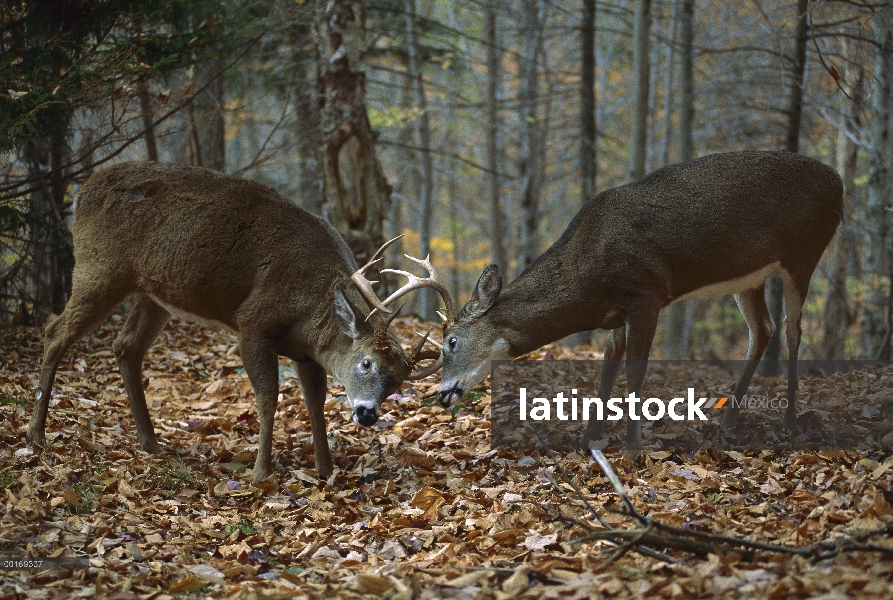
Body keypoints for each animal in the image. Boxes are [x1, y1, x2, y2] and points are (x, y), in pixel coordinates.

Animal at [27, 163, 450, 482]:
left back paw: (151, 442)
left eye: (396, 382)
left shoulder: (307, 352)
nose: (367, 414)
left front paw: (325, 469)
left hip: (153, 293)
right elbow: (268, 397)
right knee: (54, 332)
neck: (310, 308)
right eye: (366, 363)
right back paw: (36, 435)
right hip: (100, 268)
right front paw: (262, 472)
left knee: (125, 347)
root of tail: (82, 190)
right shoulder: (253, 324)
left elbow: (314, 403)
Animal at [438, 150, 844, 450]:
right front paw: (590, 438)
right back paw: (729, 419)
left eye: (451, 341)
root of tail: (838, 181)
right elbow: (607, 369)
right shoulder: (616, 314)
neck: (587, 278)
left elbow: (635, 371)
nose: (443, 395)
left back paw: (790, 420)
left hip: (803, 253)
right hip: (750, 277)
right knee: (763, 329)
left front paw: (634, 446)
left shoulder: (646, 293)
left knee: (793, 329)